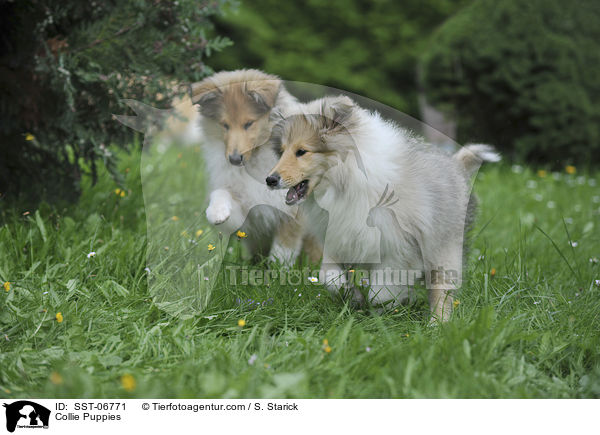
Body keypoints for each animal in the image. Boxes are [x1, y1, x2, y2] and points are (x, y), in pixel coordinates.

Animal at [264, 96, 500, 320]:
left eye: (301, 151)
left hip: (443, 248)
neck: (346, 180)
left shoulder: (397, 248)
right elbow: (329, 277)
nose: (270, 180)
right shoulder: (339, 238)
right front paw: (353, 297)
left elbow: (382, 291)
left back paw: (437, 324)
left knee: (442, 290)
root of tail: (457, 165)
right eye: (282, 151)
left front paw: (383, 310)